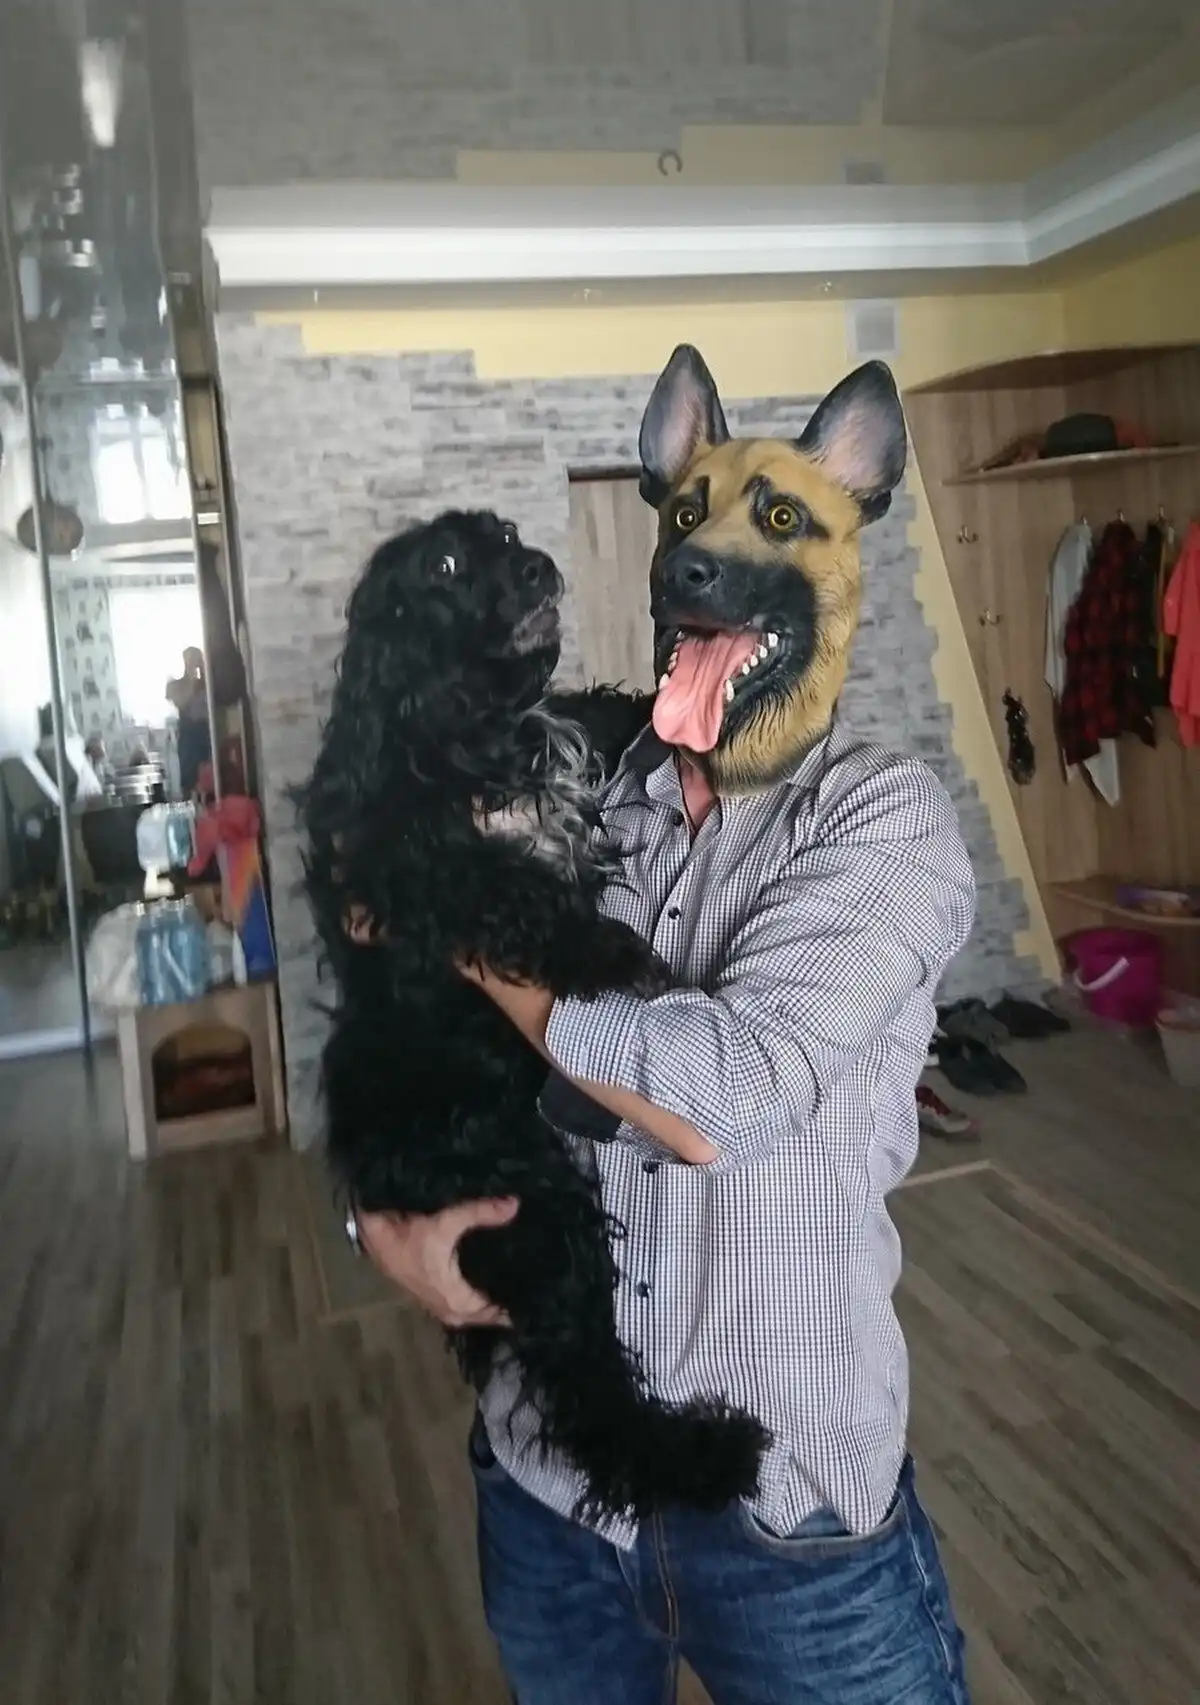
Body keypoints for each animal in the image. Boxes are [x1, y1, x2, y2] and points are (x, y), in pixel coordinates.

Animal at [299, 508, 769, 1522]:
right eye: (443, 564)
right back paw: (698, 1457)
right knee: (589, 1388)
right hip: (539, 1216)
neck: (482, 735)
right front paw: (615, 954)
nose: (539, 565)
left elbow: (600, 708)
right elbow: (500, 885)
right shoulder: (401, 858)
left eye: (506, 534)